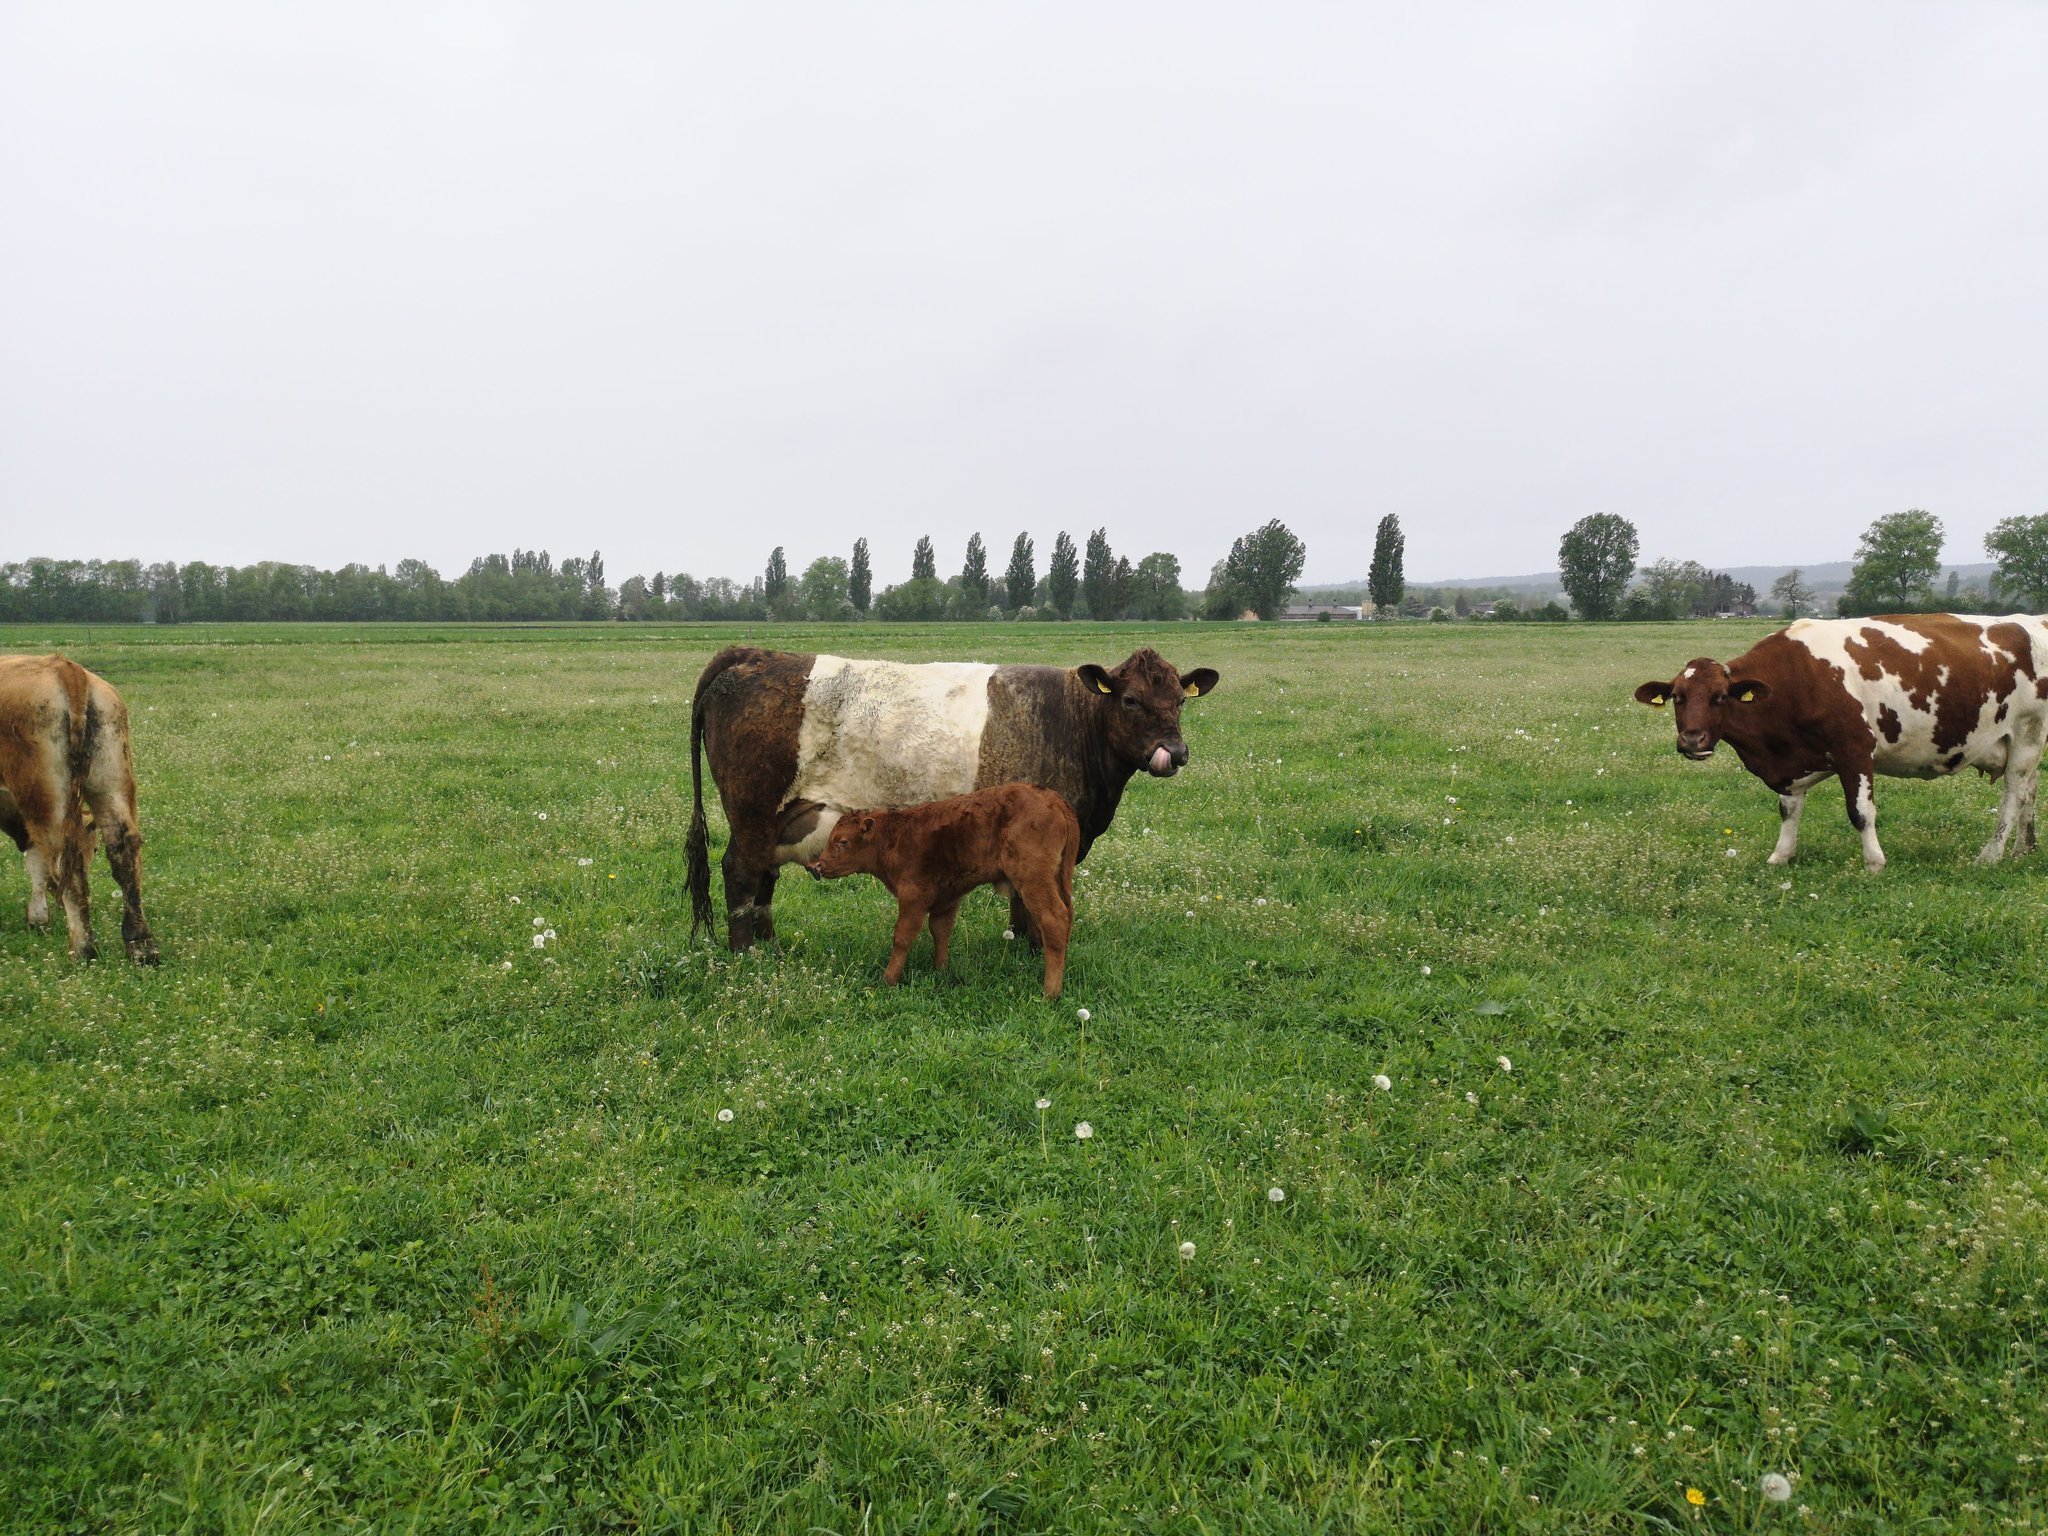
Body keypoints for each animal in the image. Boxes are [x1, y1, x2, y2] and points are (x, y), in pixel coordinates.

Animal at [0, 654, 158, 962]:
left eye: (93, 850)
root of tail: (63, 666)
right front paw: (38, 920)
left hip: (49, 803)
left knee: (65, 861)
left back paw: (83, 948)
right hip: (110, 781)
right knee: (124, 851)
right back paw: (141, 945)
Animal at [686, 646, 1218, 949]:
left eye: (1181, 700)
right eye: (1130, 700)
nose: (1175, 752)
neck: (1069, 720)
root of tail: (753, 653)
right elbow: (1031, 902)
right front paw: (1032, 948)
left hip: (781, 818)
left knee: (765, 877)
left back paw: (770, 946)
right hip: (753, 810)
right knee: (741, 872)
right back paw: (745, 953)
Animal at [806, 783, 1081, 997]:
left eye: (842, 841)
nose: (818, 866)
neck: (895, 838)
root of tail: (1054, 800)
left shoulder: (913, 897)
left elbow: (902, 937)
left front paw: (889, 979)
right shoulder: (947, 898)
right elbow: (940, 931)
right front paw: (941, 969)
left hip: (1034, 880)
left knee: (1054, 919)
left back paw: (1050, 992)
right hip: (1057, 880)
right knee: (1067, 916)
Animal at [1635, 614, 2048, 870]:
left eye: (1721, 697)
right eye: (1677, 697)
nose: (1692, 739)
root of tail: (2032, 619)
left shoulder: (1856, 750)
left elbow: (1861, 812)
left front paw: (1874, 863)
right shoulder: (1793, 762)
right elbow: (1788, 810)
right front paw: (1781, 856)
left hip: (2026, 733)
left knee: (2013, 797)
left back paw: (1990, 856)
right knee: (2029, 790)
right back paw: (2023, 850)